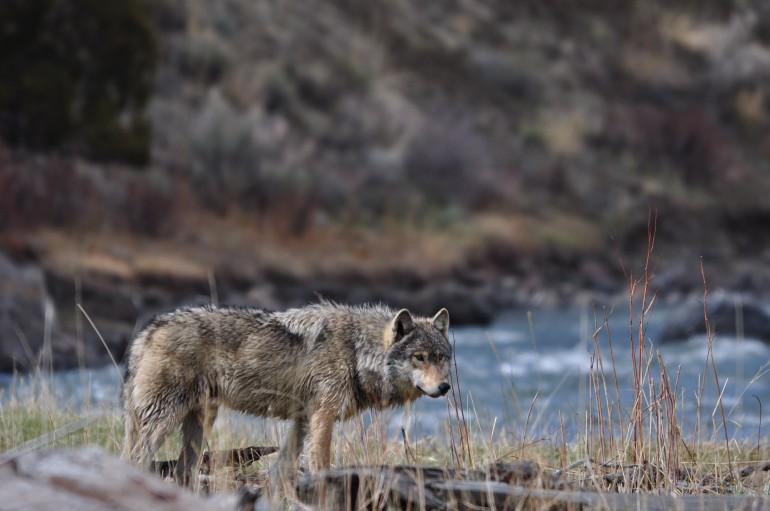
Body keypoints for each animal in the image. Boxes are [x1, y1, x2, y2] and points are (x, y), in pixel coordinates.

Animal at [120, 302, 450, 490]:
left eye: (442, 357)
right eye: (420, 357)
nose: (445, 387)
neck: (357, 352)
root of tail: (146, 333)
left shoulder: (303, 421)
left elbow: (281, 470)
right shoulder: (322, 418)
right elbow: (321, 465)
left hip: (198, 426)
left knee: (180, 472)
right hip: (163, 422)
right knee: (135, 460)